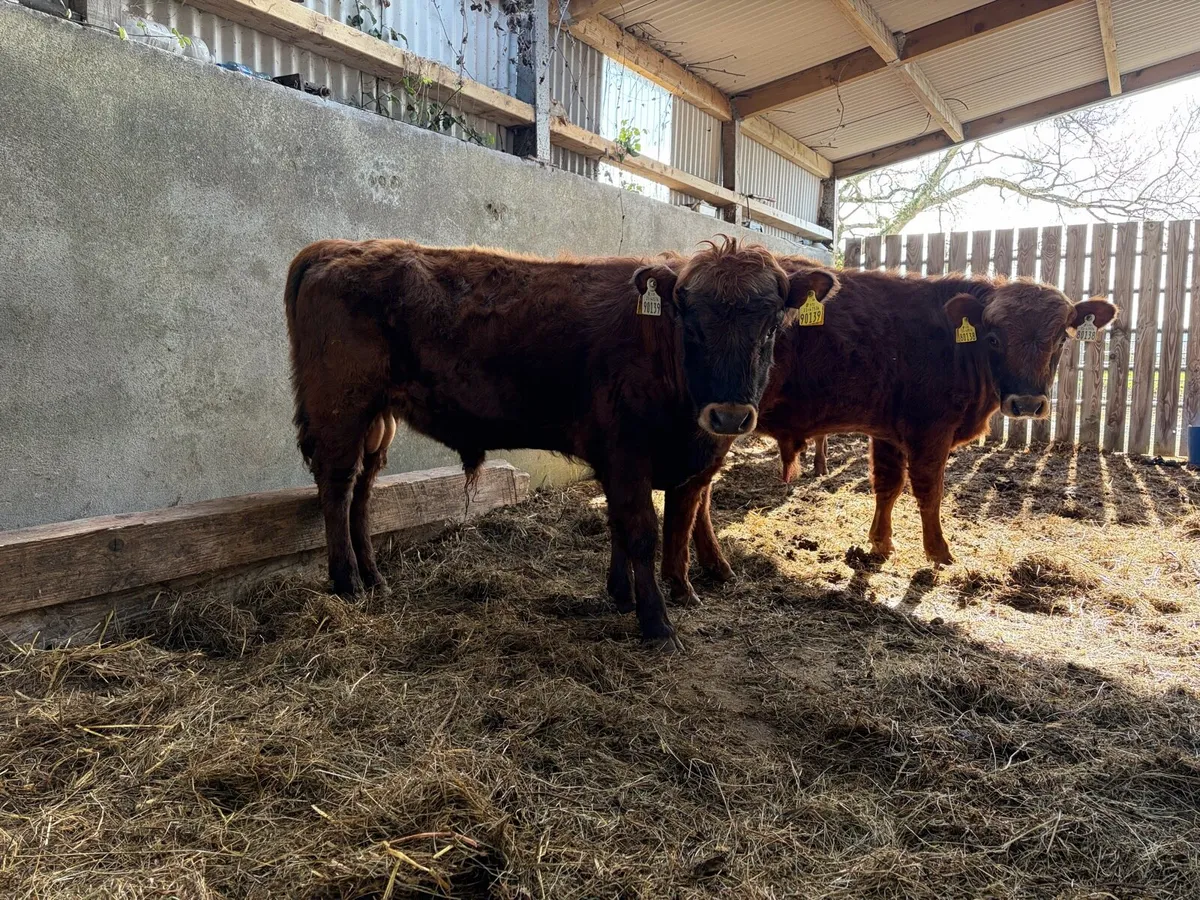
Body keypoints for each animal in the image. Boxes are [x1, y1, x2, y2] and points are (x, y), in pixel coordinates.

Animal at [284, 237, 839, 650]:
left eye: (771, 324)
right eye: (688, 317)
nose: (729, 414)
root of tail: (340, 247)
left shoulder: (680, 464)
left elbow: (670, 528)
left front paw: (649, 593)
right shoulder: (627, 455)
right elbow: (642, 532)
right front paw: (657, 624)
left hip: (378, 417)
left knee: (364, 487)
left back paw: (374, 577)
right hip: (341, 406)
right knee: (338, 485)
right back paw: (347, 582)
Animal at [706, 261, 1116, 564]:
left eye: (1060, 339)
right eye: (994, 337)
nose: (1027, 403)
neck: (953, 345)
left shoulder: (887, 432)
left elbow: (888, 485)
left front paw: (880, 541)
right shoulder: (930, 431)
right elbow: (929, 490)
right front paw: (938, 551)